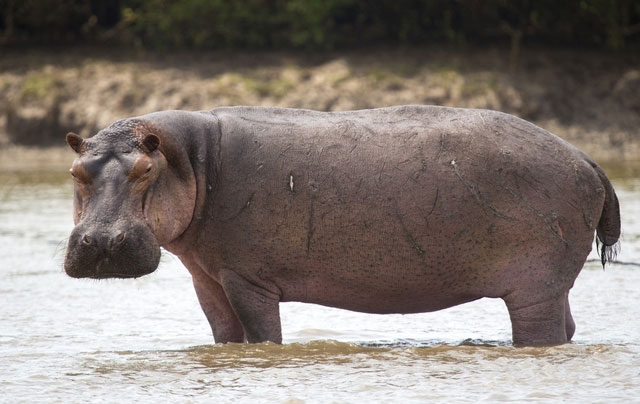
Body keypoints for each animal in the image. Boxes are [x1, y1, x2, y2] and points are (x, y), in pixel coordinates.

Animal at [63, 105, 620, 346]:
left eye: (144, 170)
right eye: (75, 171)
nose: (102, 242)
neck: (192, 160)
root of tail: (587, 159)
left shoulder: (248, 279)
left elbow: (262, 336)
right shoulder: (208, 278)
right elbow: (224, 336)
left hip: (534, 286)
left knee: (542, 331)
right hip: (552, 284)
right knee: (568, 327)